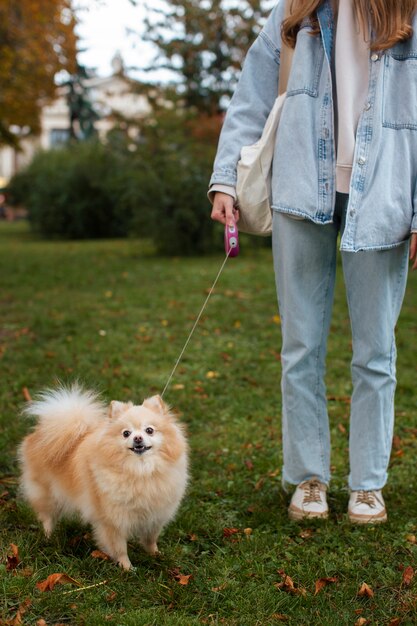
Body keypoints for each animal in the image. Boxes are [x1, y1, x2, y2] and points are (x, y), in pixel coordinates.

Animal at [18, 382, 188, 568]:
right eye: (126, 433)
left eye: (149, 430)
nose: (137, 438)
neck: (140, 471)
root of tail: (40, 432)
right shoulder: (113, 520)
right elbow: (119, 547)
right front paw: (127, 568)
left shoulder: (155, 515)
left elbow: (150, 539)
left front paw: (156, 555)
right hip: (47, 493)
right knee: (47, 516)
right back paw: (49, 536)